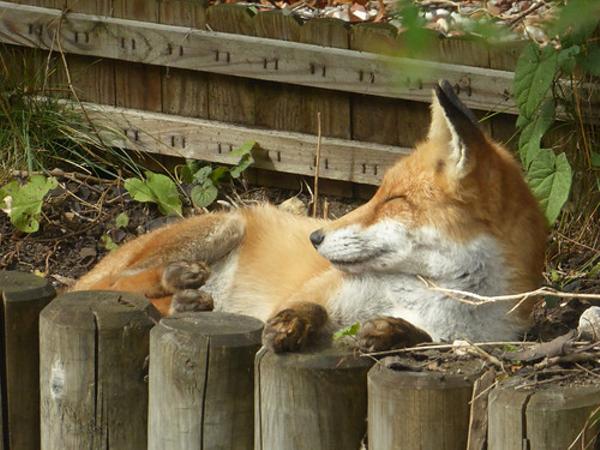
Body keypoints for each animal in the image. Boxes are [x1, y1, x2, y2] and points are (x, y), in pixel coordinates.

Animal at [73, 80, 547, 353]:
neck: (437, 296)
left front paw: (392, 332)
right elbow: (306, 308)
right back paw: (178, 283)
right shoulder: (316, 292)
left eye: (393, 200)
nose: (315, 238)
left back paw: (184, 300)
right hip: (226, 224)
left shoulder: (473, 341)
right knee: (108, 289)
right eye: (378, 193)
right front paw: (292, 324)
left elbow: (425, 339)